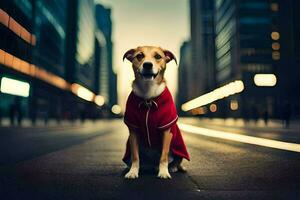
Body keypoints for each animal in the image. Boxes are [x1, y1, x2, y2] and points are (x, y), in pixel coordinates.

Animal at [122, 46, 190, 179]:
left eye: (158, 56)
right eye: (139, 56)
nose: (147, 65)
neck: (148, 96)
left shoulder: (166, 131)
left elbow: (163, 156)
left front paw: (163, 172)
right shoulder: (133, 131)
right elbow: (135, 156)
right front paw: (133, 171)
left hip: (178, 146)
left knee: (177, 161)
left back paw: (173, 168)